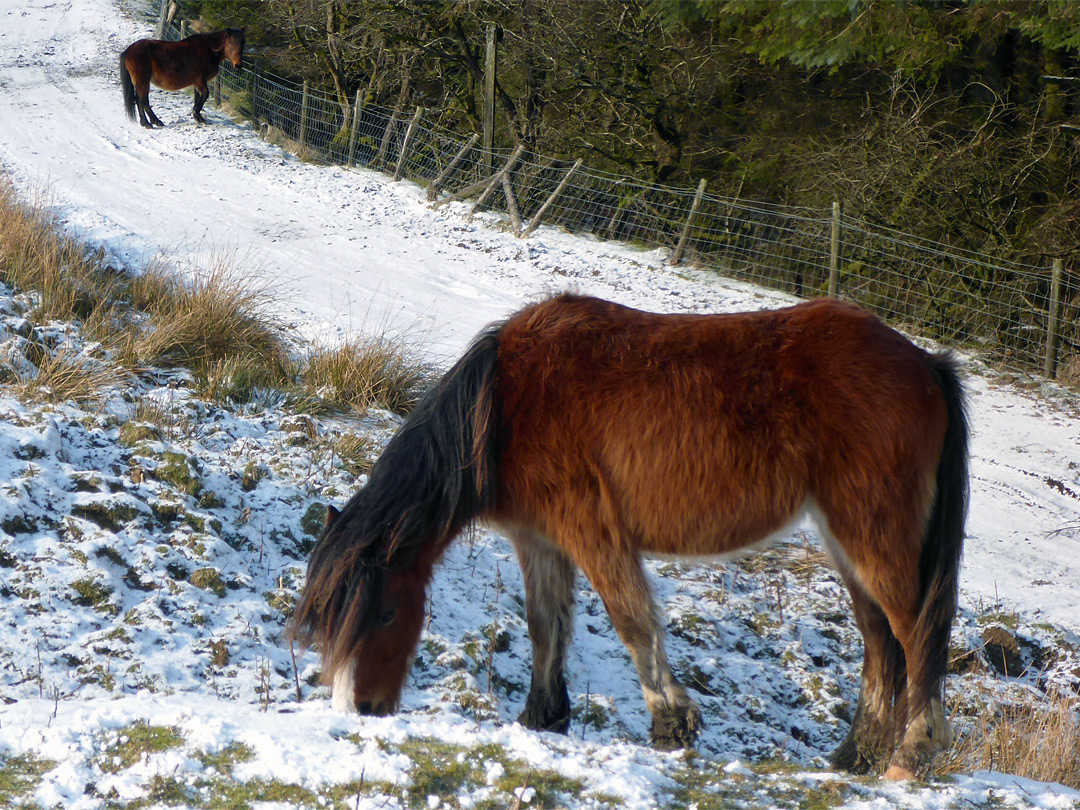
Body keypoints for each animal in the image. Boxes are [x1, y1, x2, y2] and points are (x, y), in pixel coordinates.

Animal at [289, 295, 972, 781]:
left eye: (386, 613)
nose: (361, 712)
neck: (506, 405)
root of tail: (927, 364)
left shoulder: (592, 531)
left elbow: (632, 621)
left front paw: (672, 725)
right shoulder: (539, 541)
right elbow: (546, 626)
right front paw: (543, 718)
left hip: (874, 540)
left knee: (916, 635)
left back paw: (911, 756)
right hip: (849, 547)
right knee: (881, 645)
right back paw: (853, 759)